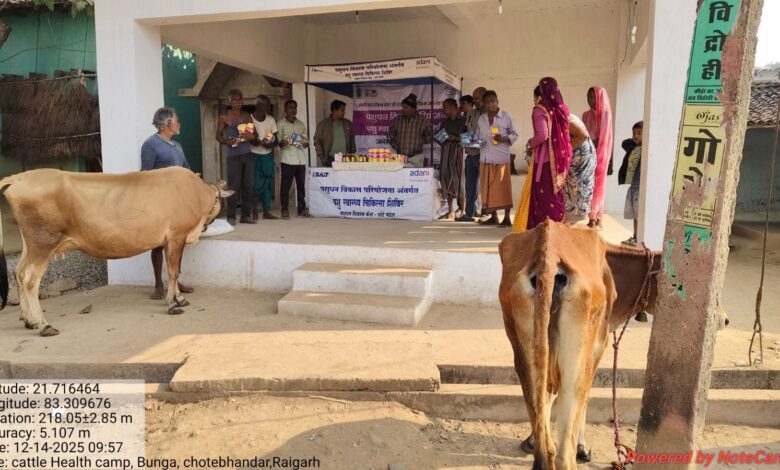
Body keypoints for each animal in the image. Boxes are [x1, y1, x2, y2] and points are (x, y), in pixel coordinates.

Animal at [0, 167, 233, 337]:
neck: (194, 192)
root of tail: (20, 178)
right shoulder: (177, 236)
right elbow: (174, 271)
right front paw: (172, 304)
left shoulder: (170, 240)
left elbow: (175, 270)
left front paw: (179, 298)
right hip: (43, 244)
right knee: (29, 279)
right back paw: (42, 324)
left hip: (30, 245)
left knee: (18, 272)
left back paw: (28, 320)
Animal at [498, 220, 728, 469]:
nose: (724, 320)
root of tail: (548, 252)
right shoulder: (599, 347)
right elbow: (583, 400)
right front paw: (583, 447)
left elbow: (547, 403)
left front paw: (531, 440)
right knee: (562, 452)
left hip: (523, 353)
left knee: (544, 433)